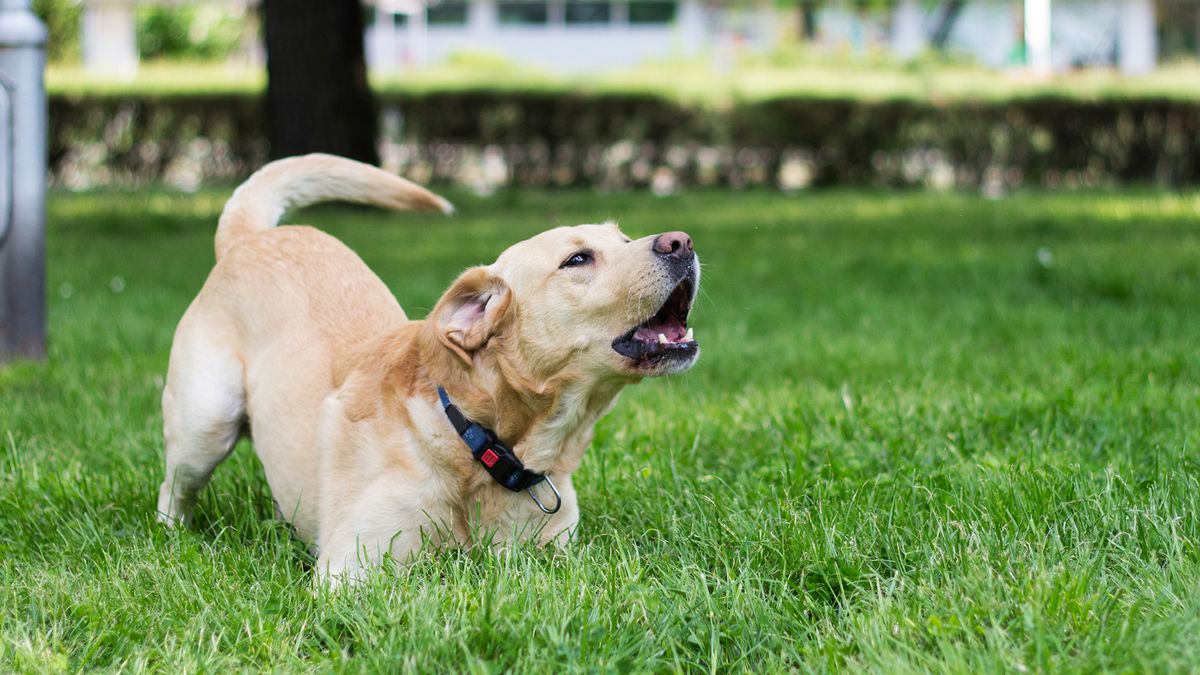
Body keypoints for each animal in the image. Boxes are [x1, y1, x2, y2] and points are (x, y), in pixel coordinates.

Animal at [160, 153, 700, 578]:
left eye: (624, 239)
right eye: (578, 260)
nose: (681, 241)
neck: (479, 437)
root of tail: (248, 239)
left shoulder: (557, 555)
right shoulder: (351, 569)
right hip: (207, 422)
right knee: (174, 491)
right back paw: (175, 540)